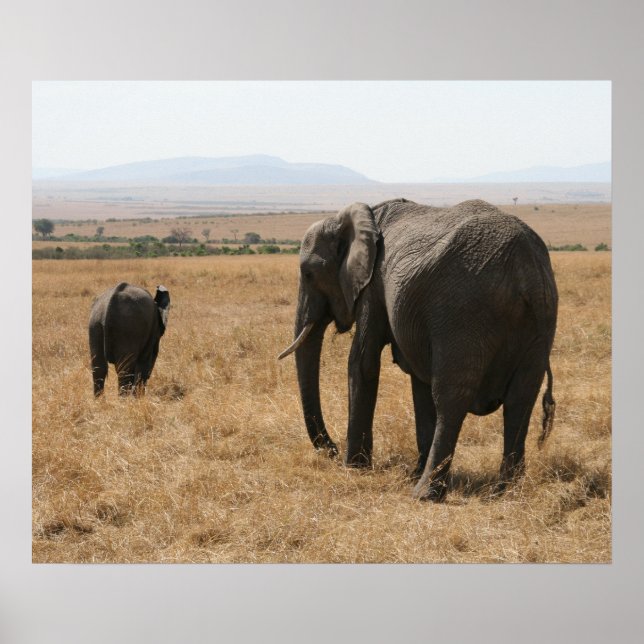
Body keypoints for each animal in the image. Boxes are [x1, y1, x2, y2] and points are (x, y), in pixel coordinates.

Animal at [278, 198, 558, 501]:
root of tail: (526, 270)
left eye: (308, 274)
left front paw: (354, 468)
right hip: (541, 321)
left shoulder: (373, 285)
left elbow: (362, 363)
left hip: (464, 315)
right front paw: (409, 471)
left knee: (451, 398)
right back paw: (505, 491)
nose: (331, 449)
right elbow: (418, 381)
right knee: (521, 399)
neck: (355, 218)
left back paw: (425, 494)